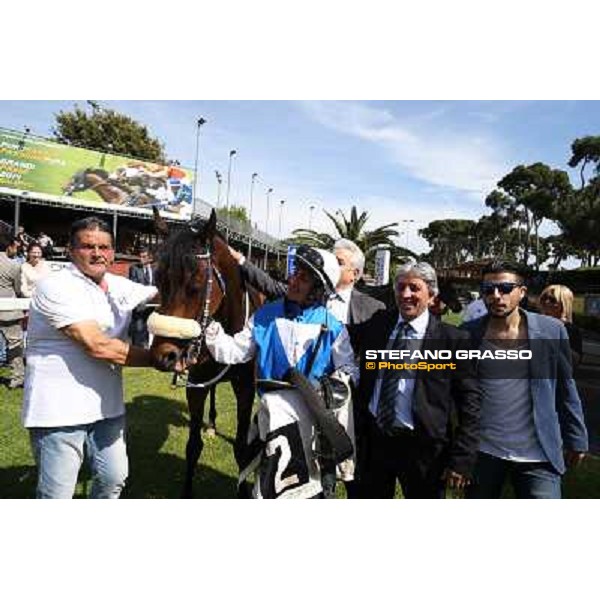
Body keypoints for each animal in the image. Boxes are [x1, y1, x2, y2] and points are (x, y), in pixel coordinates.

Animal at [149, 209, 262, 500]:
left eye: (196, 285)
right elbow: (192, 446)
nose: (163, 355)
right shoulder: (196, 384)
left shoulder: (245, 387)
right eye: (159, 278)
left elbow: (242, 450)